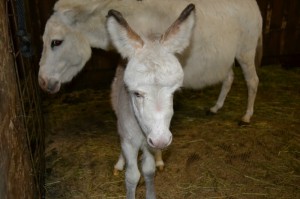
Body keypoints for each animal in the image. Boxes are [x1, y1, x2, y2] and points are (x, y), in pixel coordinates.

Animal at [106, 4, 196, 199]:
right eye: (137, 94)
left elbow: (148, 170)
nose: (161, 140)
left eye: (174, 92)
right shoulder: (129, 140)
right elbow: (132, 175)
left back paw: (160, 159)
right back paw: (119, 163)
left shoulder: (151, 141)